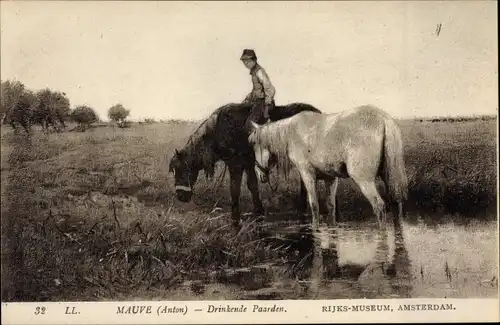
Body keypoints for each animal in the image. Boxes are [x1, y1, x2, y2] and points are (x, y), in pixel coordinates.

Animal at [170, 102, 322, 227]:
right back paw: (302, 207)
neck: (218, 130)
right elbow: (252, 185)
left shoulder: (235, 165)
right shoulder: (248, 164)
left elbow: (235, 189)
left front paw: (235, 218)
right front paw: (258, 211)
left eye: (182, 170)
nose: (180, 196)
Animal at [248, 105, 408, 229]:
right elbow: (331, 206)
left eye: (253, 143)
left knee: (379, 207)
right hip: (389, 178)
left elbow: (314, 205)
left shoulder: (307, 174)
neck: (292, 133)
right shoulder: (330, 178)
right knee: (396, 205)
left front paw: (315, 228)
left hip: (364, 181)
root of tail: (384, 120)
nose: (258, 173)